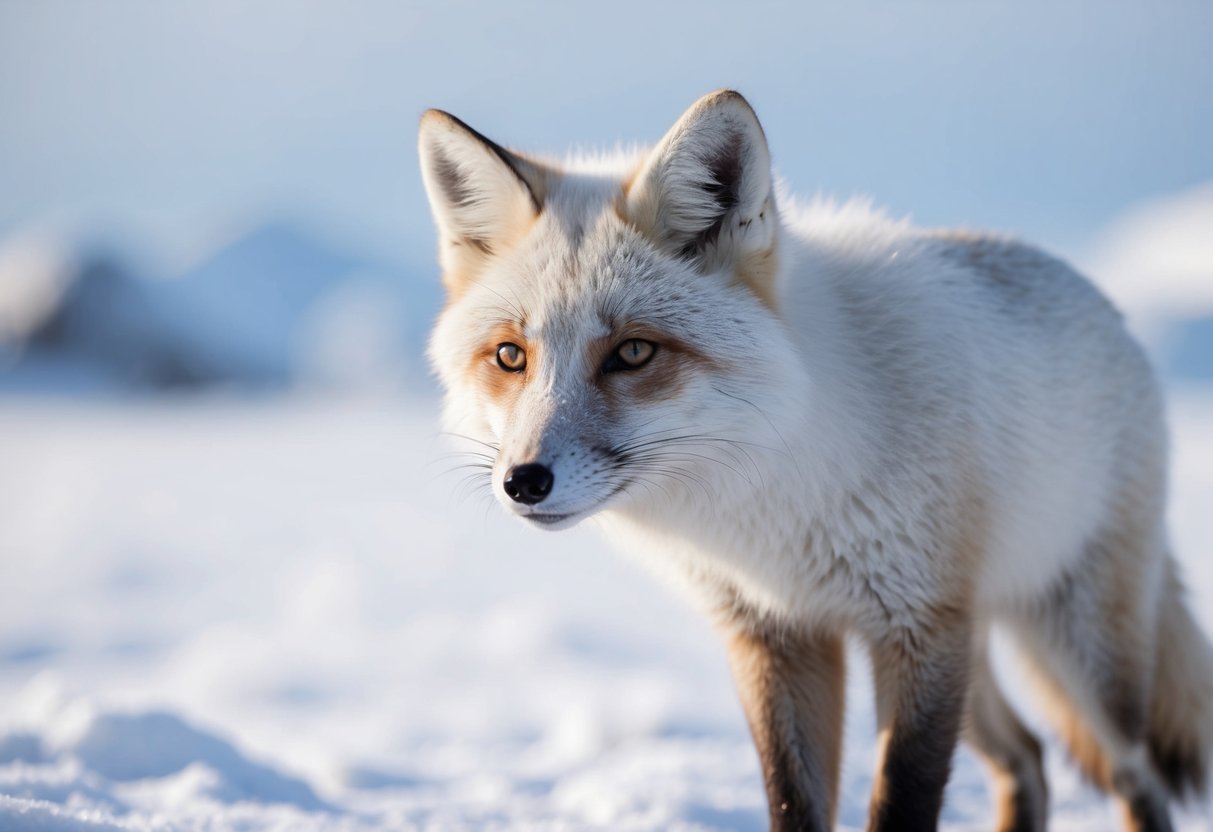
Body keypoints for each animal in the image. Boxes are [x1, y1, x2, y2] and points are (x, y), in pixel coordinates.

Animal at [418, 90, 1213, 831]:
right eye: (510, 357)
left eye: (633, 352)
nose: (523, 482)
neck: (777, 491)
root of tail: (1107, 308)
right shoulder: (779, 636)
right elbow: (792, 800)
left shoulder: (917, 627)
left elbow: (900, 801)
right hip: (977, 661)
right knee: (1028, 758)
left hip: (1079, 659)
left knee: (1133, 775)